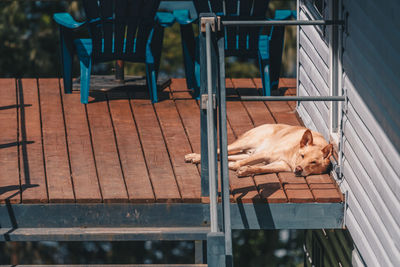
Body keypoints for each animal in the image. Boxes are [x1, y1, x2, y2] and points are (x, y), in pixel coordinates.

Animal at [186, 124, 332, 178]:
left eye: (313, 162)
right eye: (302, 156)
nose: (299, 169)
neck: (293, 153)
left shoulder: (280, 165)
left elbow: (260, 169)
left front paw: (246, 170)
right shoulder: (267, 154)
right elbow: (243, 164)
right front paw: (237, 167)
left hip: (247, 153)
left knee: (226, 155)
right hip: (246, 143)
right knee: (221, 150)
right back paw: (194, 156)